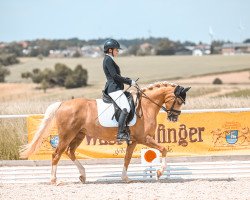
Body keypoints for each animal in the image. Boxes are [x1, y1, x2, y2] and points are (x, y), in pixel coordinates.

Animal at [20, 81, 189, 184]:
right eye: (179, 101)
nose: (173, 118)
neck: (146, 106)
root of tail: (62, 104)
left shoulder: (133, 140)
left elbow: (127, 158)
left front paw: (125, 178)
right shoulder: (144, 138)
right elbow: (164, 149)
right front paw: (159, 172)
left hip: (79, 135)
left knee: (70, 152)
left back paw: (83, 175)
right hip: (67, 135)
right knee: (56, 154)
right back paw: (54, 180)